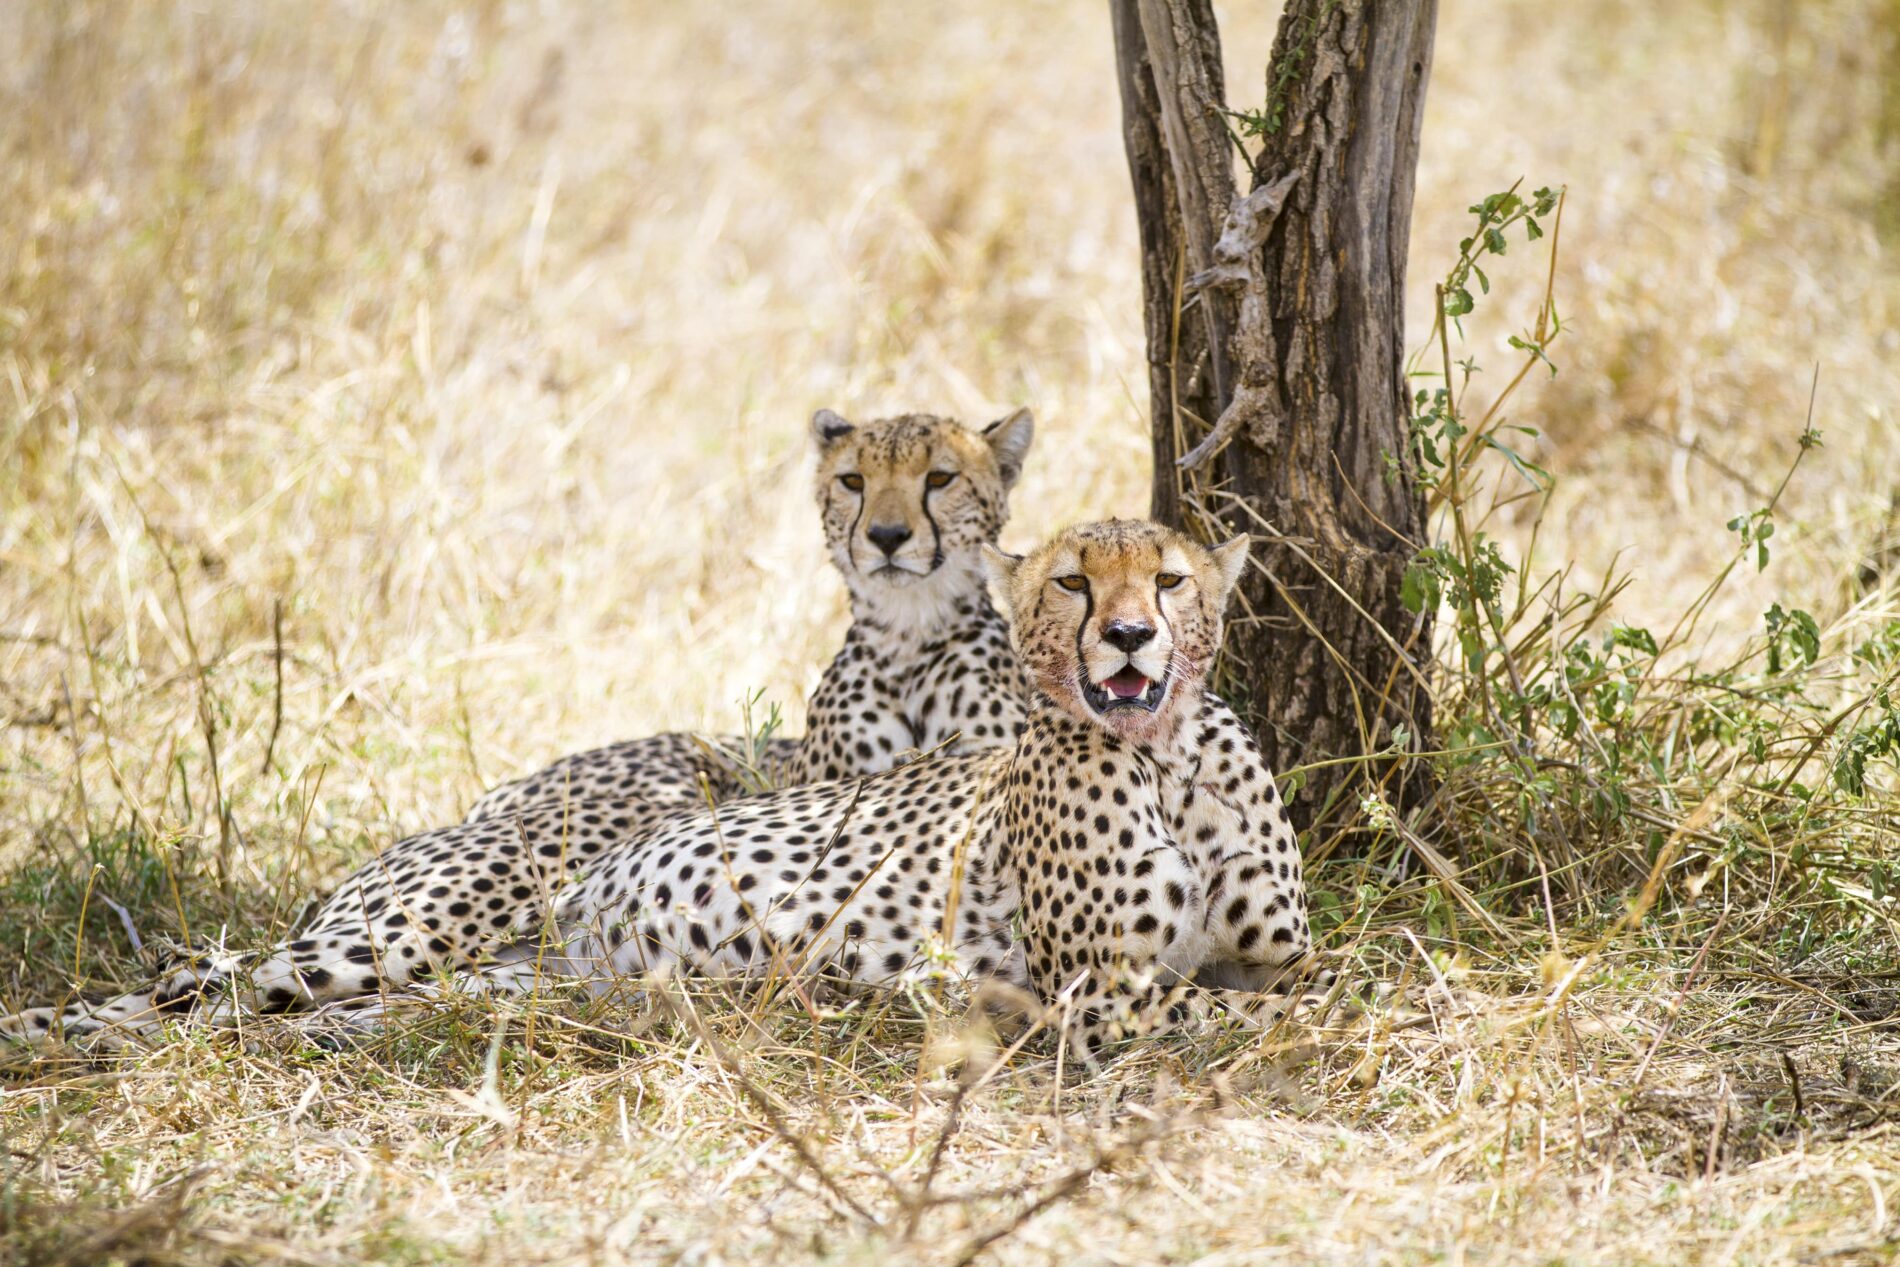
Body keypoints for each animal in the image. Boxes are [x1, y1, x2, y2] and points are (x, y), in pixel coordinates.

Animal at [3, 519, 1314, 1060]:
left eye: (1171, 578)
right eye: (1070, 585)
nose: (1131, 637)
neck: (1171, 756)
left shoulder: (1262, 958)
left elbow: (1298, 990)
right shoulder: (1102, 994)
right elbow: (1256, 1012)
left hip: (495, 988)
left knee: (277, 1013)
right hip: (403, 927)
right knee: (187, 985)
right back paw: (57, 1040)